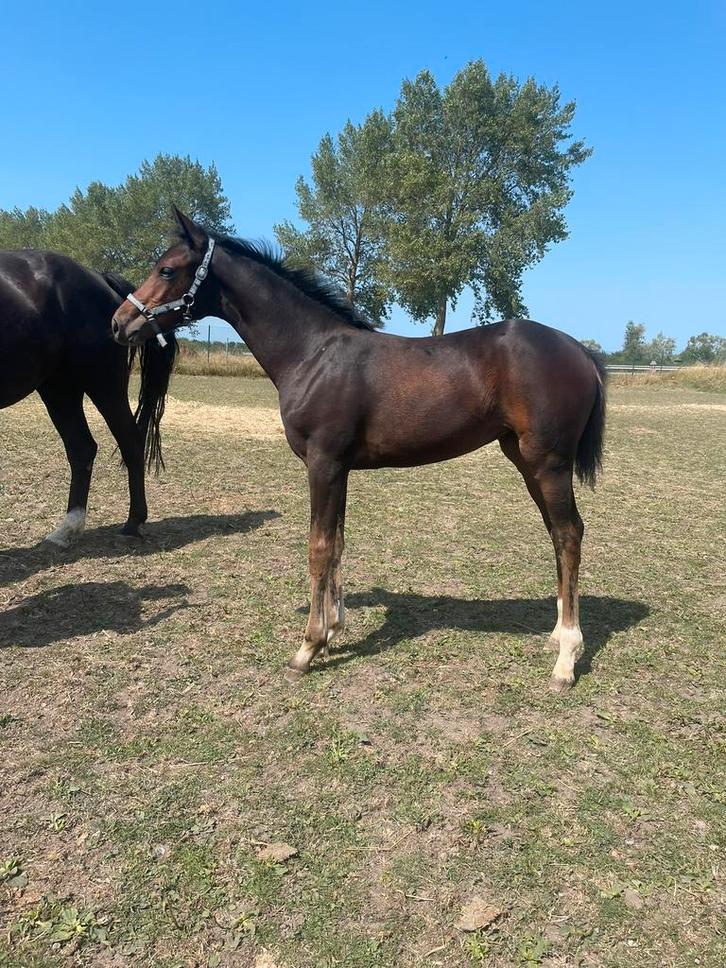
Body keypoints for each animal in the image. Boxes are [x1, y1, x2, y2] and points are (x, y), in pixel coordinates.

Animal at [1, 250, 177, 547]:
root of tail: (98, 277)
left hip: (102, 385)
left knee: (130, 441)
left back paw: (133, 522)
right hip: (60, 389)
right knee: (81, 447)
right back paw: (67, 529)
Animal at [112, 208, 606, 694]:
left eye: (167, 269)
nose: (120, 323)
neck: (312, 353)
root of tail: (581, 352)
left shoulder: (323, 464)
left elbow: (318, 547)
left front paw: (308, 648)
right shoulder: (341, 469)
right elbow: (338, 544)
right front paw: (333, 629)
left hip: (549, 463)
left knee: (569, 534)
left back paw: (566, 660)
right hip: (524, 460)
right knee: (558, 535)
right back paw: (556, 636)